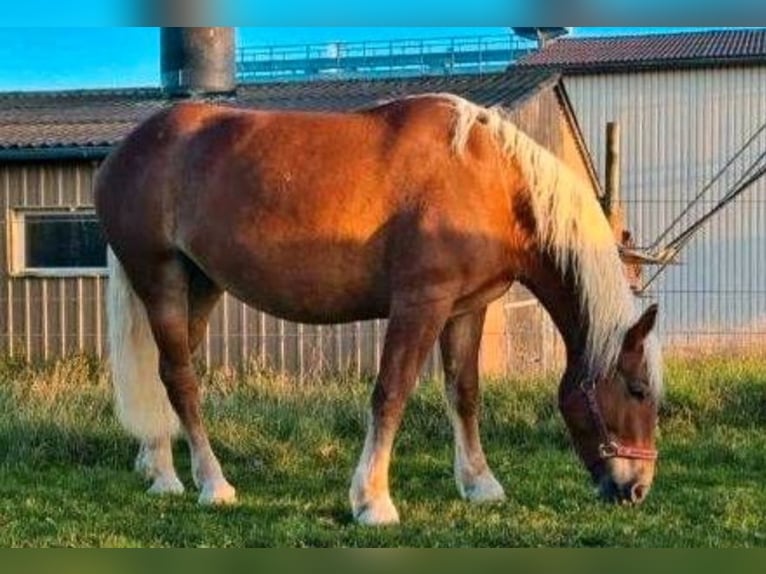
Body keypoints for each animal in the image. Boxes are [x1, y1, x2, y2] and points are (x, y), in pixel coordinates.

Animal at [96, 93, 664, 528]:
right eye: (637, 390)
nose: (637, 489)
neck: (490, 181)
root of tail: (124, 152)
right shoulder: (420, 303)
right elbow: (391, 393)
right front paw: (373, 501)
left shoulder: (466, 309)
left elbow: (464, 394)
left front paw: (479, 484)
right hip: (161, 279)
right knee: (180, 378)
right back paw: (210, 483)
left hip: (202, 284)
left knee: (165, 373)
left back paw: (160, 469)